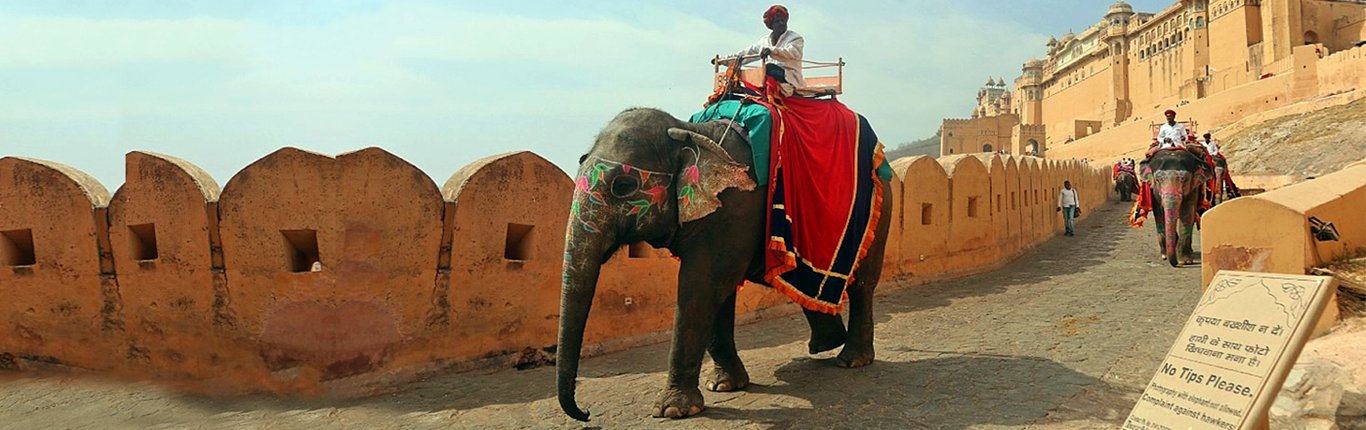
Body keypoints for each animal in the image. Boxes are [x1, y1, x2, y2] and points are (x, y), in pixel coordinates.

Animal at [557, 107, 892, 421]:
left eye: (624, 185)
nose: (586, 412)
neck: (689, 132)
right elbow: (718, 292)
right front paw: (723, 385)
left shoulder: (734, 208)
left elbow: (702, 286)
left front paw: (673, 410)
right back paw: (824, 344)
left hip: (878, 210)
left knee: (862, 285)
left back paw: (852, 359)